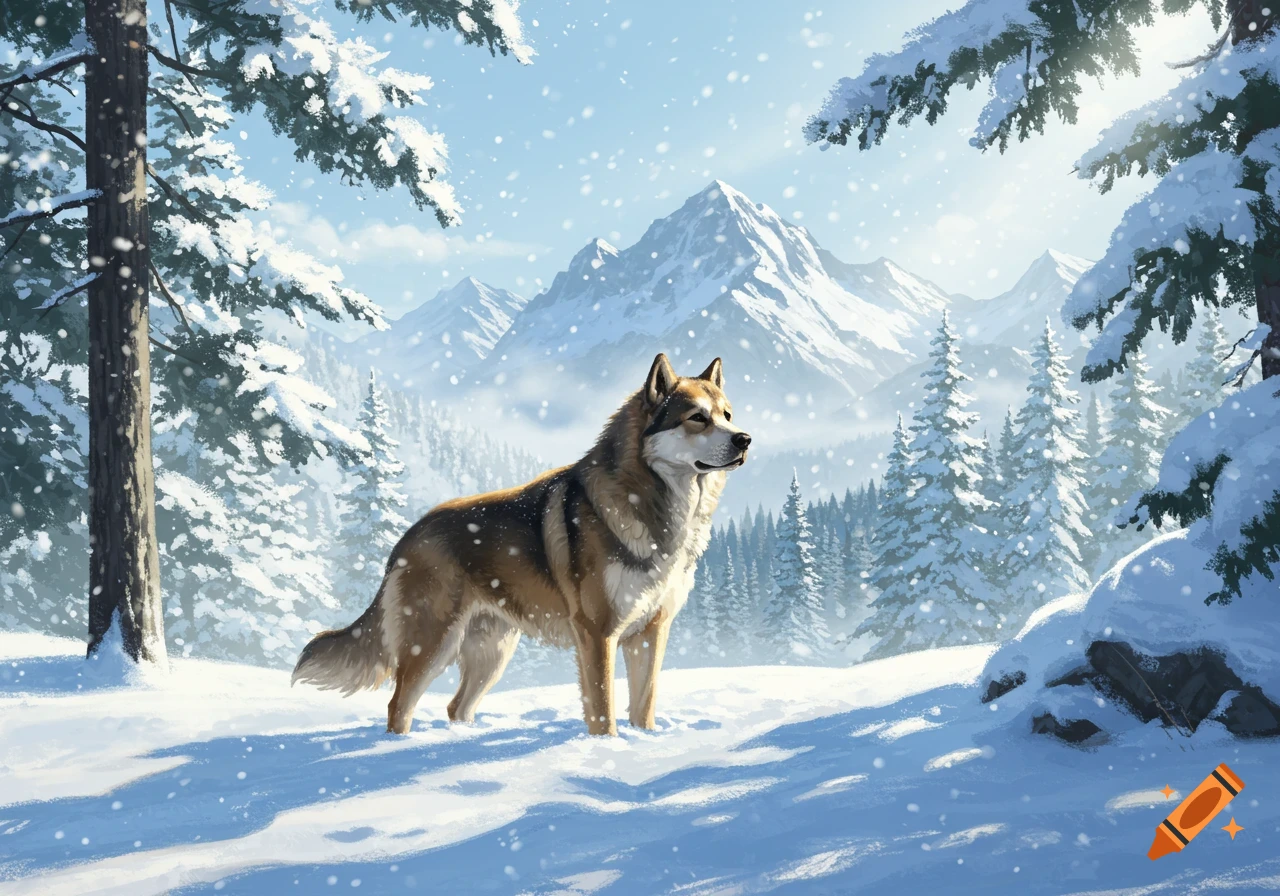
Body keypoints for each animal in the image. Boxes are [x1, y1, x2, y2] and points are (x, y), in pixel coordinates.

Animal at [293, 353, 751, 736]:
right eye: (697, 418)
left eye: (727, 415)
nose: (744, 439)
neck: (655, 507)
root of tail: (406, 537)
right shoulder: (597, 633)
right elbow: (603, 711)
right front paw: (606, 752)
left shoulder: (650, 633)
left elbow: (645, 705)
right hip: (434, 645)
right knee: (398, 706)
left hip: (491, 655)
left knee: (456, 707)